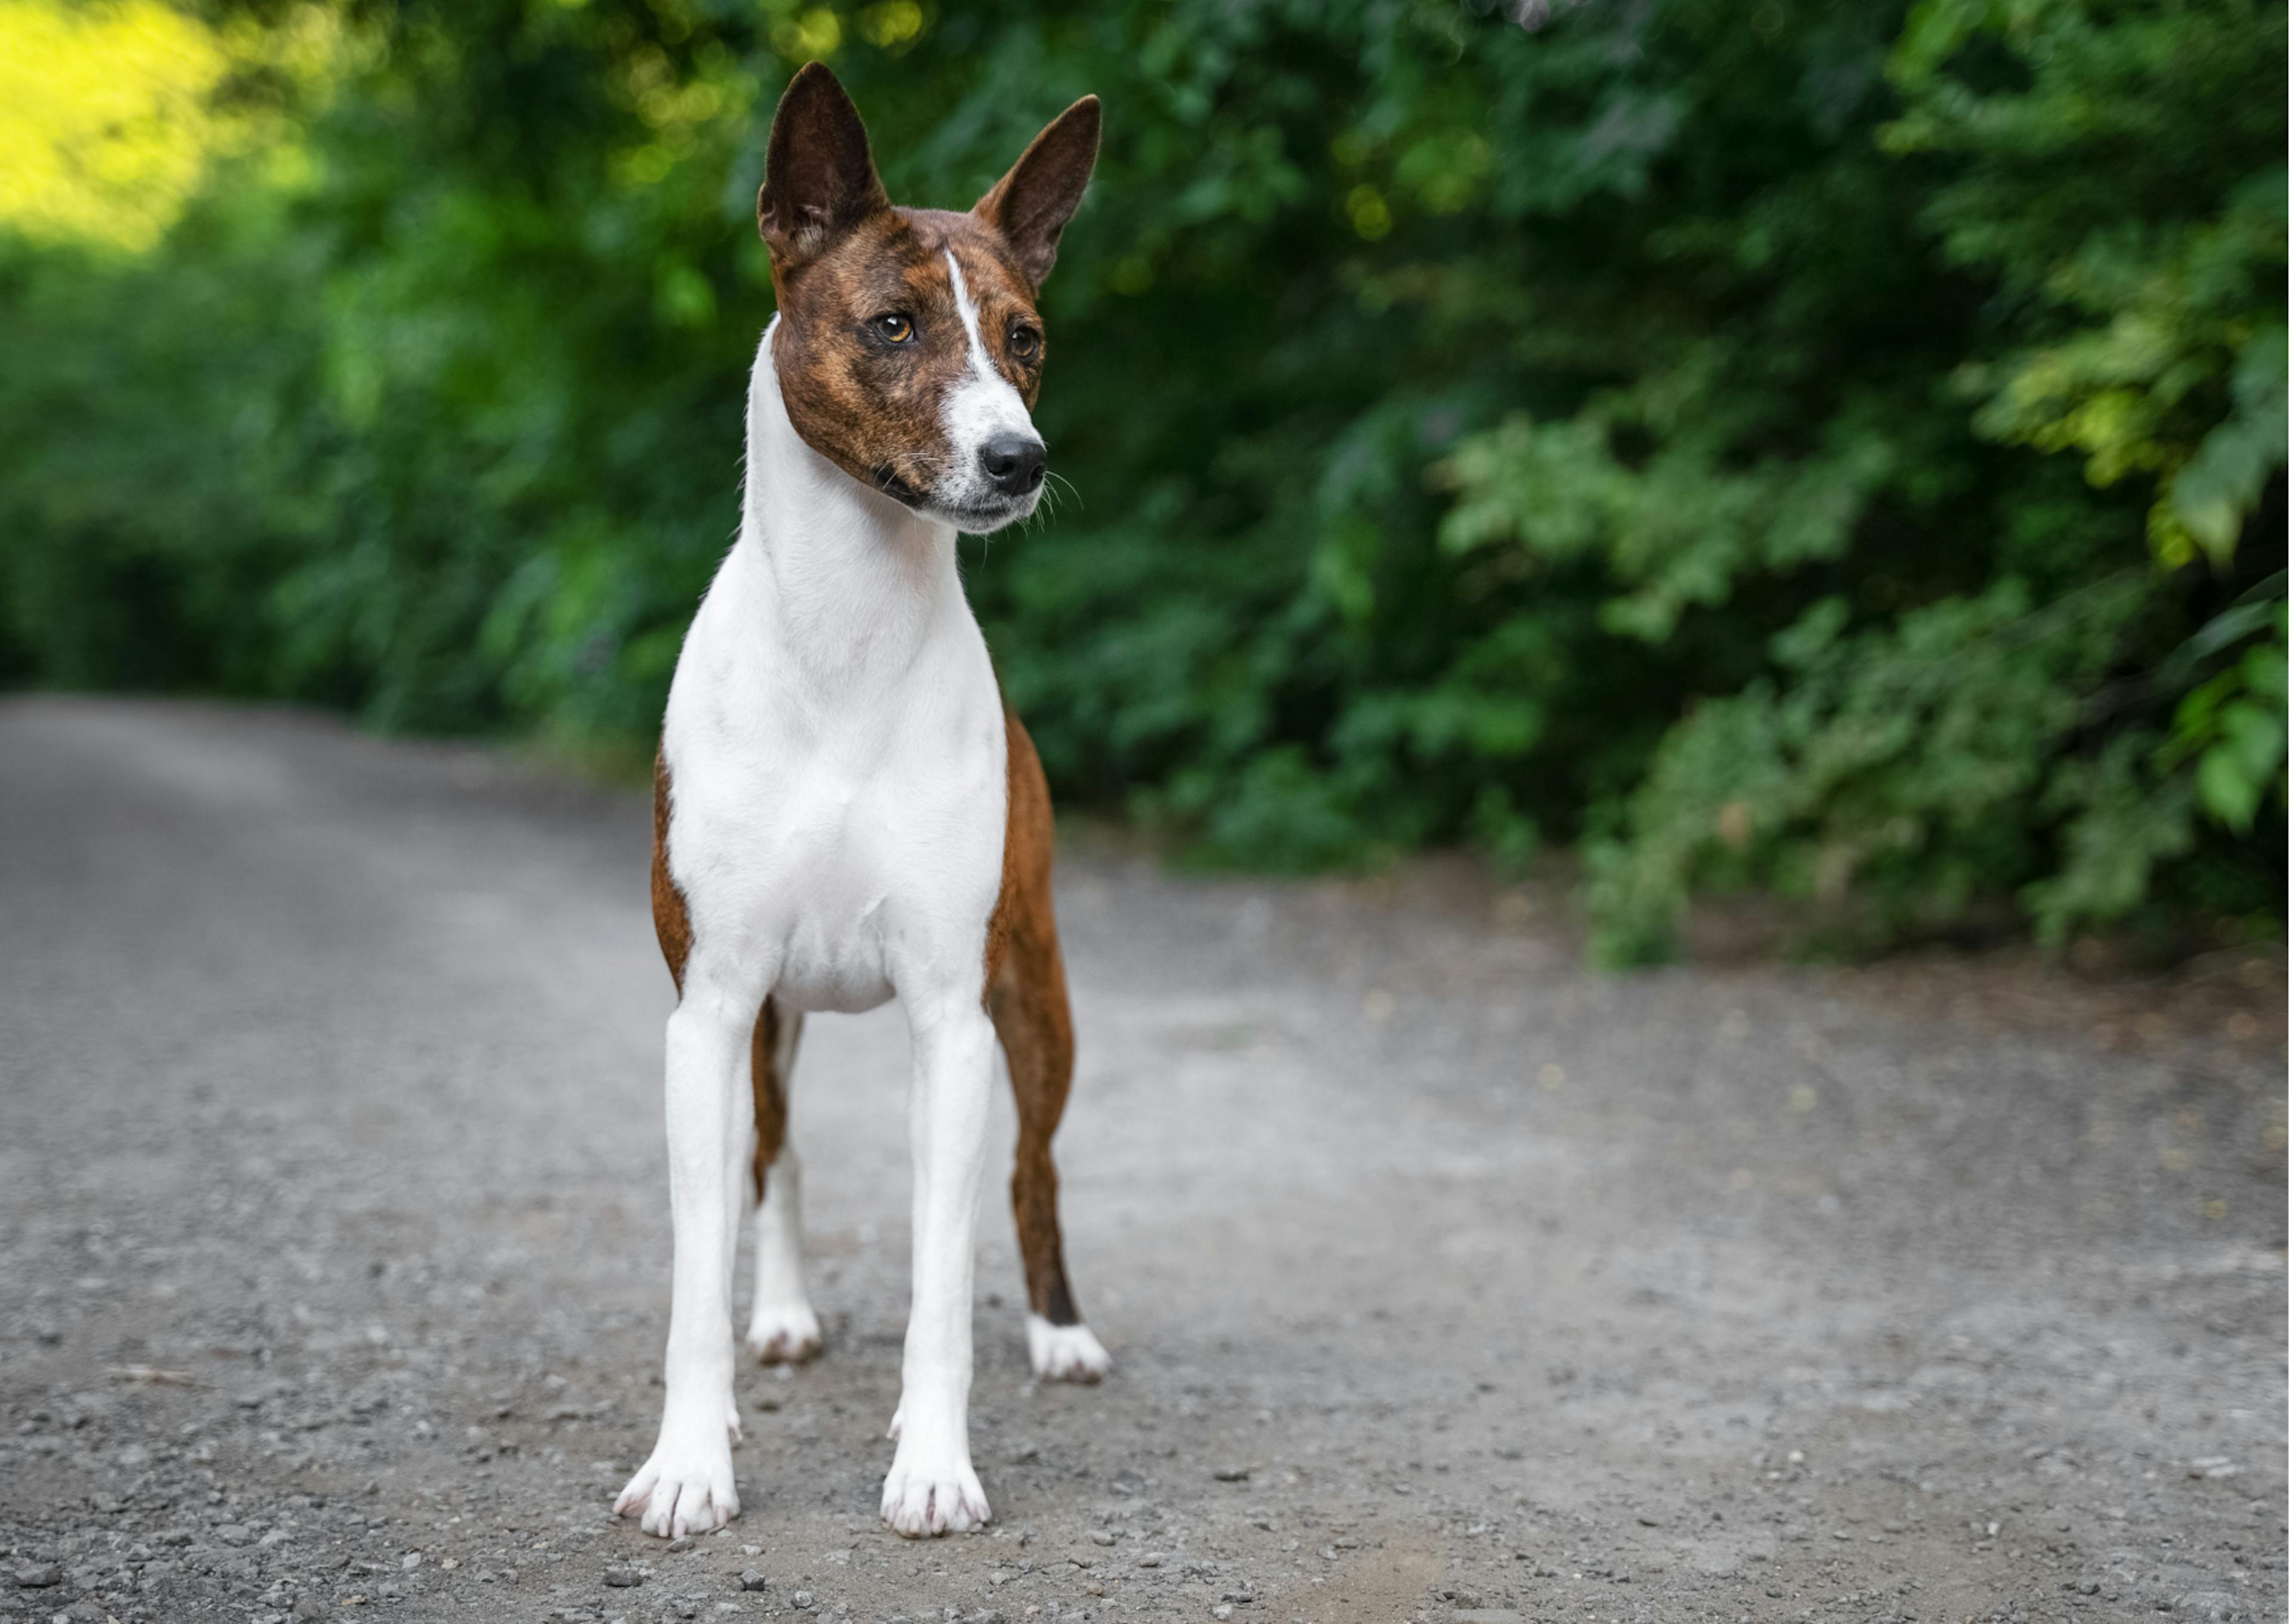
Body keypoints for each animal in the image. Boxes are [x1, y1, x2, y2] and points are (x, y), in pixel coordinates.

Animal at [614, 60, 1103, 1530]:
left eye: (1025, 338)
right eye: (893, 326)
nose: (1019, 458)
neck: (845, 641)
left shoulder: (955, 1015)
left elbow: (944, 1276)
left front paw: (933, 1463)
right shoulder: (711, 1004)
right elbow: (697, 1269)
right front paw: (690, 1463)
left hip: (1036, 991)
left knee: (1034, 1167)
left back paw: (1061, 1328)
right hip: (773, 1019)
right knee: (773, 1156)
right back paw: (781, 1314)